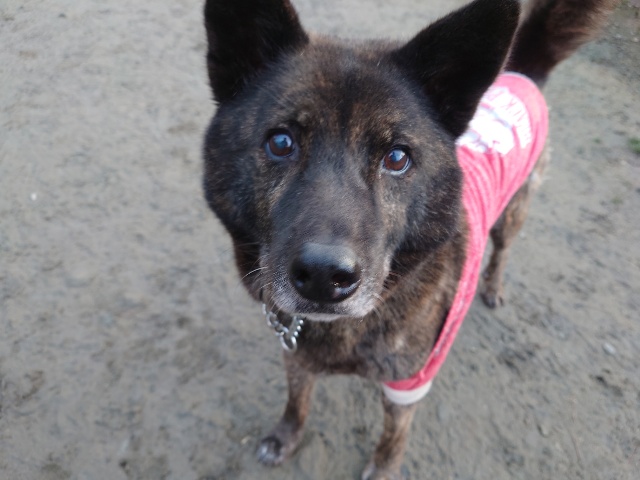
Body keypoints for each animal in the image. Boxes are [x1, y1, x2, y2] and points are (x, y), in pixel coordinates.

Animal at [201, 0, 617, 478]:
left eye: (397, 157)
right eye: (281, 142)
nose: (325, 277)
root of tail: (523, 71)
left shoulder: (407, 384)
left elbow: (392, 438)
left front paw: (382, 469)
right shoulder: (296, 351)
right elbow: (297, 398)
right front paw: (287, 435)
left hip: (514, 212)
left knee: (504, 250)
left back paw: (493, 286)